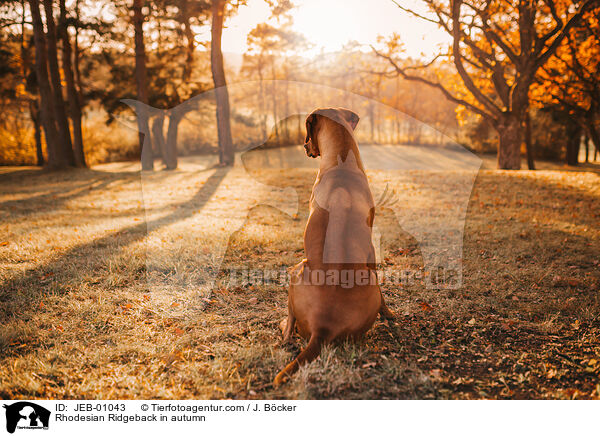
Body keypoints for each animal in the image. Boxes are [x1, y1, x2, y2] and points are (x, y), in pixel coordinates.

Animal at [276, 108, 396, 384]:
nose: (304, 145)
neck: (342, 164)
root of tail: (322, 327)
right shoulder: (370, 251)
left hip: (296, 269)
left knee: (289, 327)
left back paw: (283, 326)